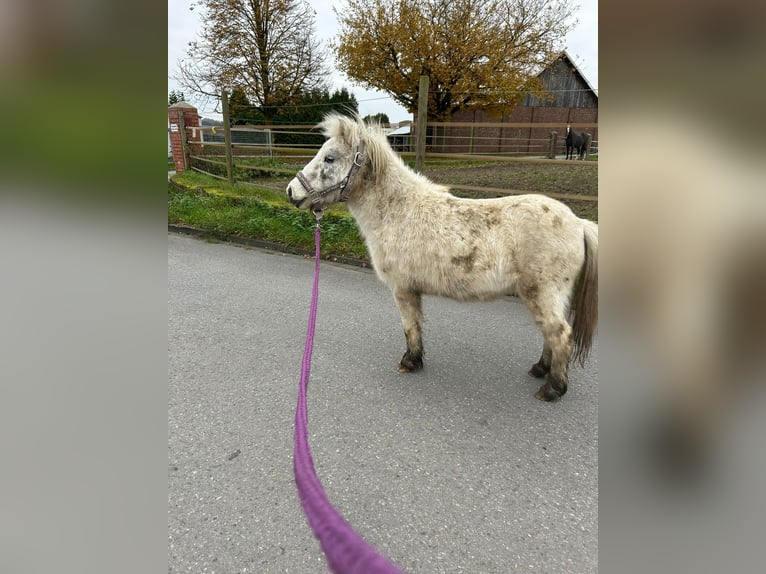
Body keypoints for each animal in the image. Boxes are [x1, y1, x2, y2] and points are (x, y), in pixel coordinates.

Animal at [286, 113, 598, 401]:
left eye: (329, 158)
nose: (291, 191)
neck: (398, 211)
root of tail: (578, 222)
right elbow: (416, 325)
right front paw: (415, 359)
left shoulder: (402, 289)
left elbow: (410, 326)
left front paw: (409, 362)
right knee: (551, 334)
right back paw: (540, 369)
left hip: (543, 294)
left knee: (560, 335)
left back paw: (552, 389)